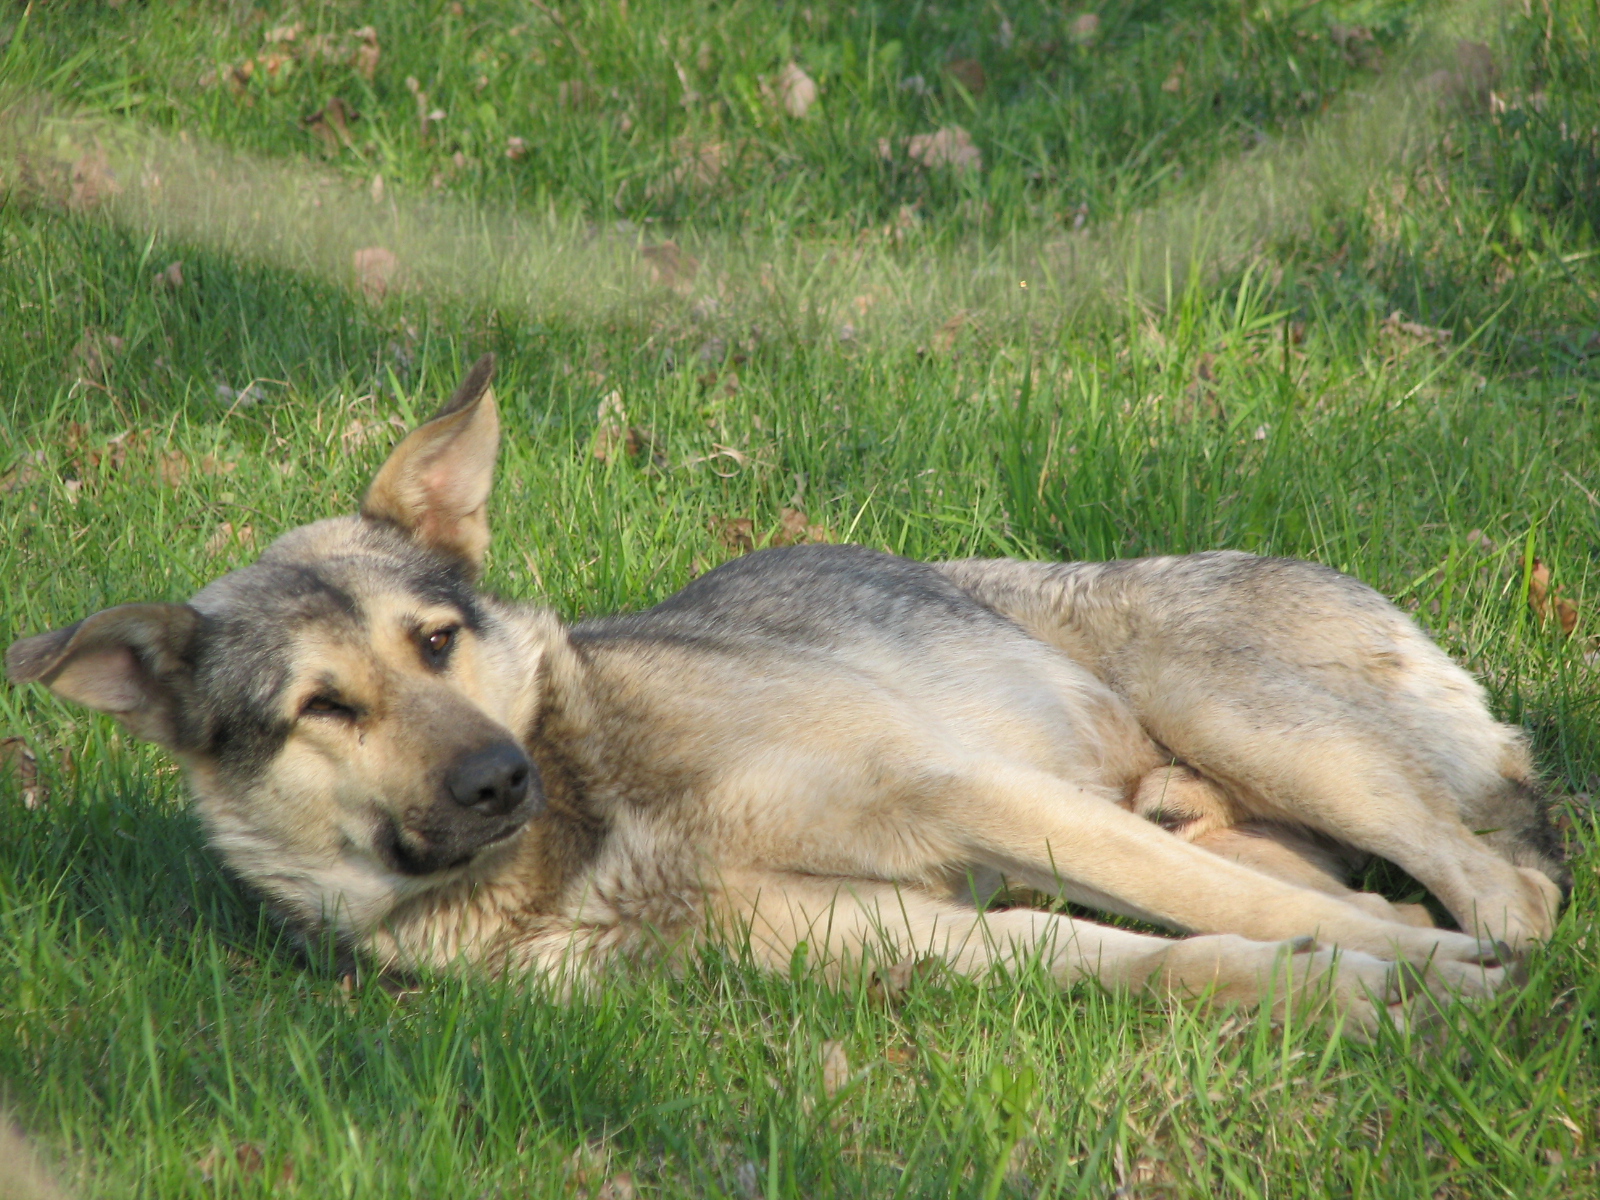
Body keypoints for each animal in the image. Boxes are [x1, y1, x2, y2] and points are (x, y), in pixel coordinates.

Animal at [6, 355, 1568, 1036]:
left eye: (436, 639)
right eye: (323, 707)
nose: (496, 780)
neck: (594, 832)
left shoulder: (973, 792)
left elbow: (1242, 910)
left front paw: (1415, 968)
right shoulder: (905, 933)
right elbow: (1176, 954)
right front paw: (1357, 990)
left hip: (1246, 720)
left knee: (1510, 886)